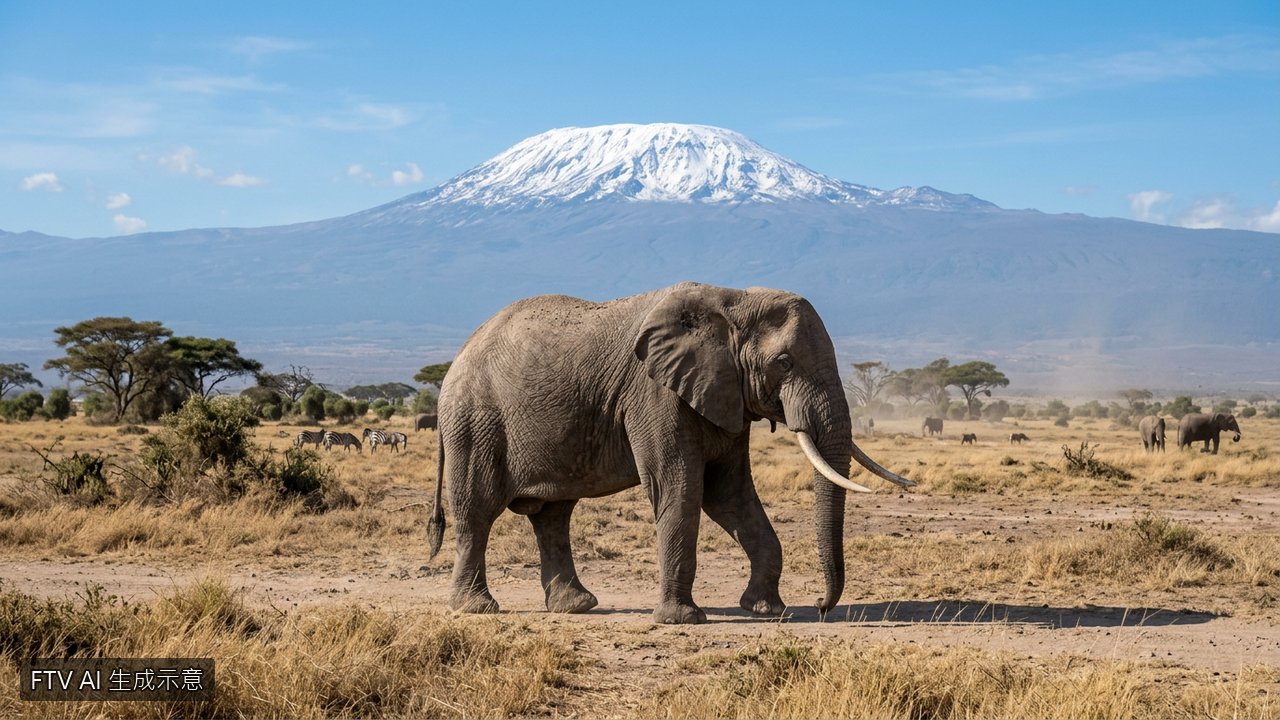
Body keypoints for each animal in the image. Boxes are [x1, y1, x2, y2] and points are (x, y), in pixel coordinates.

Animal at [426, 282, 914, 625]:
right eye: (784, 363)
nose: (820, 604)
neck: (734, 301)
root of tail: (457, 359)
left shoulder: (723, 394)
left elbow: (730, 493)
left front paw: (765, 610)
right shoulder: (654, 393)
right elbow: (678, 487)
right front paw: (684, 620)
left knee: (553, 516)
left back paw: (575, 606)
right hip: (474, 424)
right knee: (477, 511)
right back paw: (477, 609)